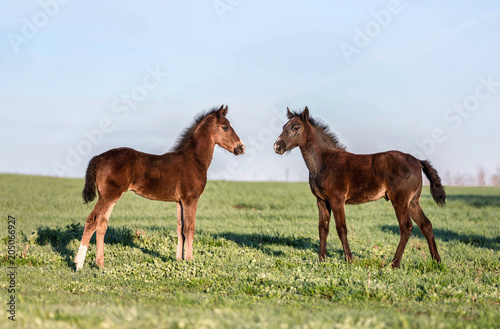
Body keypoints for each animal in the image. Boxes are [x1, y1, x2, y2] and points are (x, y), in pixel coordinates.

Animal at [75, 105, 245, 270]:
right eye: (225, 127)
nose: (241, 148)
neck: (193, 161)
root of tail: (100, 157)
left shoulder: (179, 201)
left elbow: (180, 229)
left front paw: (179, 260)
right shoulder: (191, 198)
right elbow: (189, 229)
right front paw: (189, 261)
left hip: (111, 197)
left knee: (102, 224)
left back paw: (100, 264)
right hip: (108, 196)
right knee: (92, 221)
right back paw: (79, 264)